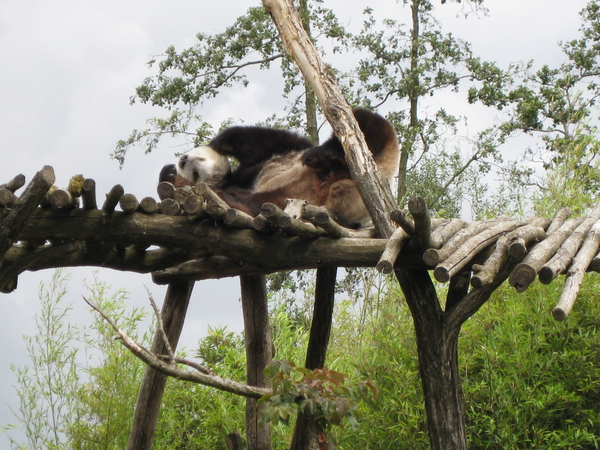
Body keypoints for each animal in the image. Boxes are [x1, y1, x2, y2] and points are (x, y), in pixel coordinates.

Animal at [162, 109, 400, 229]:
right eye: (194, 174)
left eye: (199, 157)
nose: (182, 161)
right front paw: (170, 175)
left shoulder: (277, 153)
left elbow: (255, 139)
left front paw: (219, 143)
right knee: (255, 204)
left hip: (376, 154)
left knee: (366, 123)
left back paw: (324, 155)